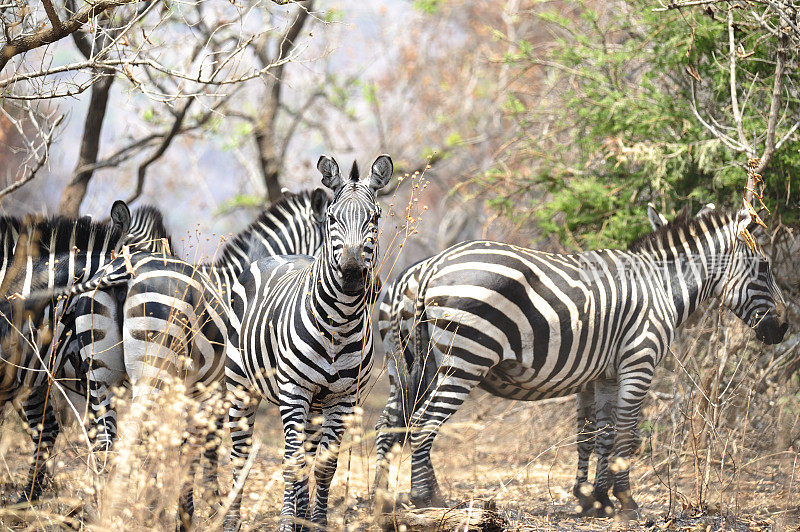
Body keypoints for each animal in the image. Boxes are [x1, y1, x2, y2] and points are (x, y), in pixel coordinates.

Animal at [223, 155, 392, 532]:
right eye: (332, 218)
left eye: (375, 218)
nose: (353, 273)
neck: (339, 323)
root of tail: (275, 256)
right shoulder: (294, 391)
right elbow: (291, 462)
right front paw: (288, 524)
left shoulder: (344, 399)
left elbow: (324, 467)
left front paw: (316, 522)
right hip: (240, 388)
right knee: (240, 455)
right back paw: (230, 521)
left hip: (316, 404)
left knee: (308, 454)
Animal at [374, 206, 788, 516]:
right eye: (765, 267)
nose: (784, 328)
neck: (661, 287)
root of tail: (428, 268)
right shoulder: (639, 361)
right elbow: (625, 432)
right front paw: (625, 501)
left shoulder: (604, 375)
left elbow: (597, 434)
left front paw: (595, 499)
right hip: (466, 358)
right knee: (424, 423)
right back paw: (427, 499)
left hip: (407, 365)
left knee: (390, 423)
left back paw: (381, 498)